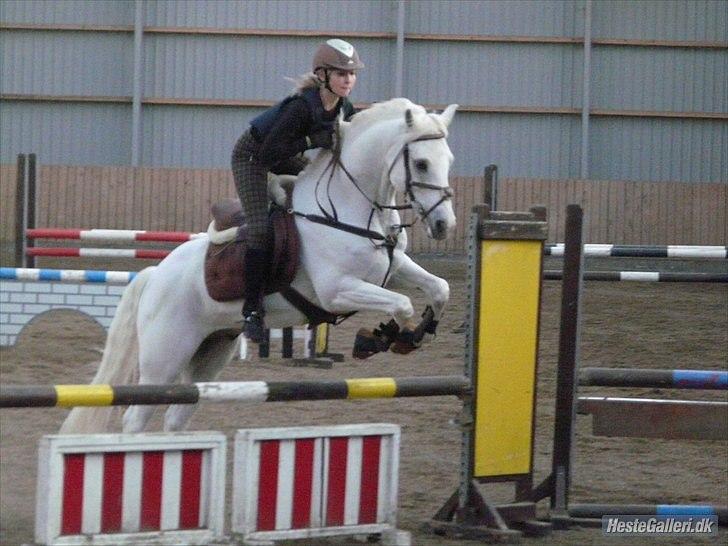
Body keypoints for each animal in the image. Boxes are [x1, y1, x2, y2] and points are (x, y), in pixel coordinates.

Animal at [60, 98, 459, 434]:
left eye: (449, 161)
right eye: (421, 163)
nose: (444, 225)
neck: (346, 207)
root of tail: (156, 275)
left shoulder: (393, 268)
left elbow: (439, 288)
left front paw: (414, 333)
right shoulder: (337, 291)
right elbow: (402, 304)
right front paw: (384, 337)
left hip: (210, 351)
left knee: (176, 416)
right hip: (165, 356)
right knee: (136, 418)